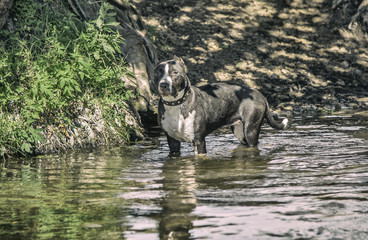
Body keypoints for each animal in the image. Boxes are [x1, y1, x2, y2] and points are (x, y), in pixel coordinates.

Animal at [154, 56, 288, 156]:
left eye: (175, 72)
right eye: (157, 73)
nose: (163, 85)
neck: (175, 105)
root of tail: (260, 94)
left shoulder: (199, 141)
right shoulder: (173, 142)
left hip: (251, 130)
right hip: (240, 131)